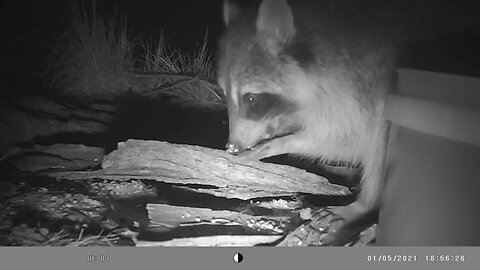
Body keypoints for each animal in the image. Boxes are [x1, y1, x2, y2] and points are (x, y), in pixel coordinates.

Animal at [218, 0, 398, 245]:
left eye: (251, 99)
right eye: (225, 94)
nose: (232, 145)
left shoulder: (355, 89)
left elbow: (352, 141)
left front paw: (282, 143)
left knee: (380, 144)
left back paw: (364, 204)